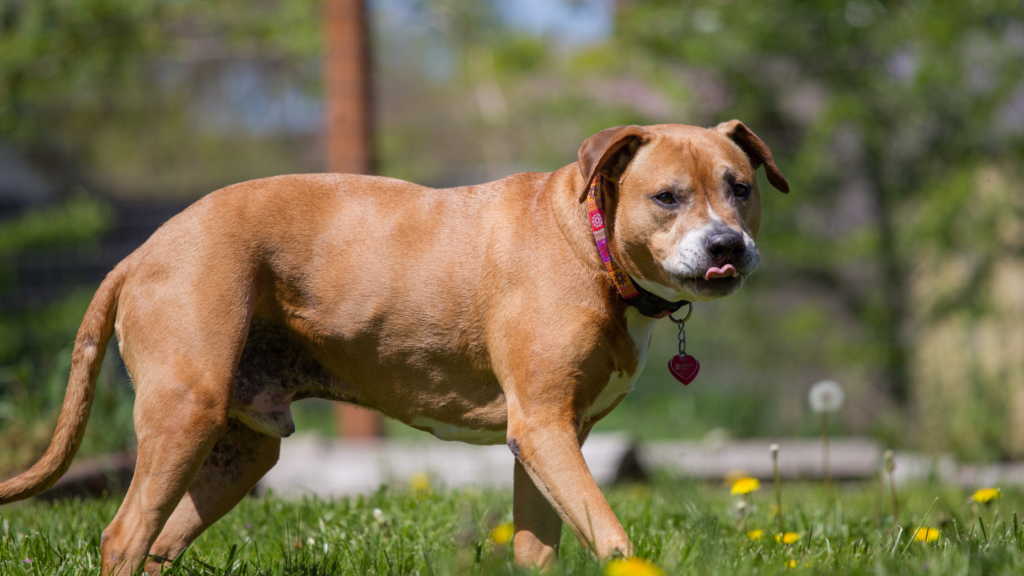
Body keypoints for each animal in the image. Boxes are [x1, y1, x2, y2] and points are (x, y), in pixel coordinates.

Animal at [0, 118, 786, 569]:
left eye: (740, 188)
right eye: (666, 197)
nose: (728, 246)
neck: (592, 244)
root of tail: (141, 253)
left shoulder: (548, 440)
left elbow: (541, 544)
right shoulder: (544, 429)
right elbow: (612, 533)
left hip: (240, 449)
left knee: (159, 543)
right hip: (183, 415)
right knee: (125, 536)